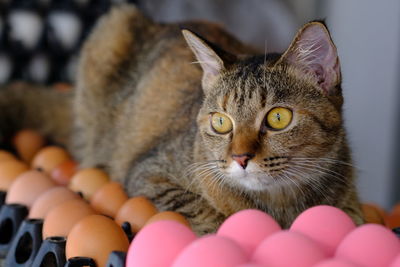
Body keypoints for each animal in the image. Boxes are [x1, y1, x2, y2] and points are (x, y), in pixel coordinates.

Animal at [0, 3, 362, 234]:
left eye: (277, 118)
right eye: (220, 122)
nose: (240, 158)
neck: (280, 204)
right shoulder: (149, 172)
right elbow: (203, 209)